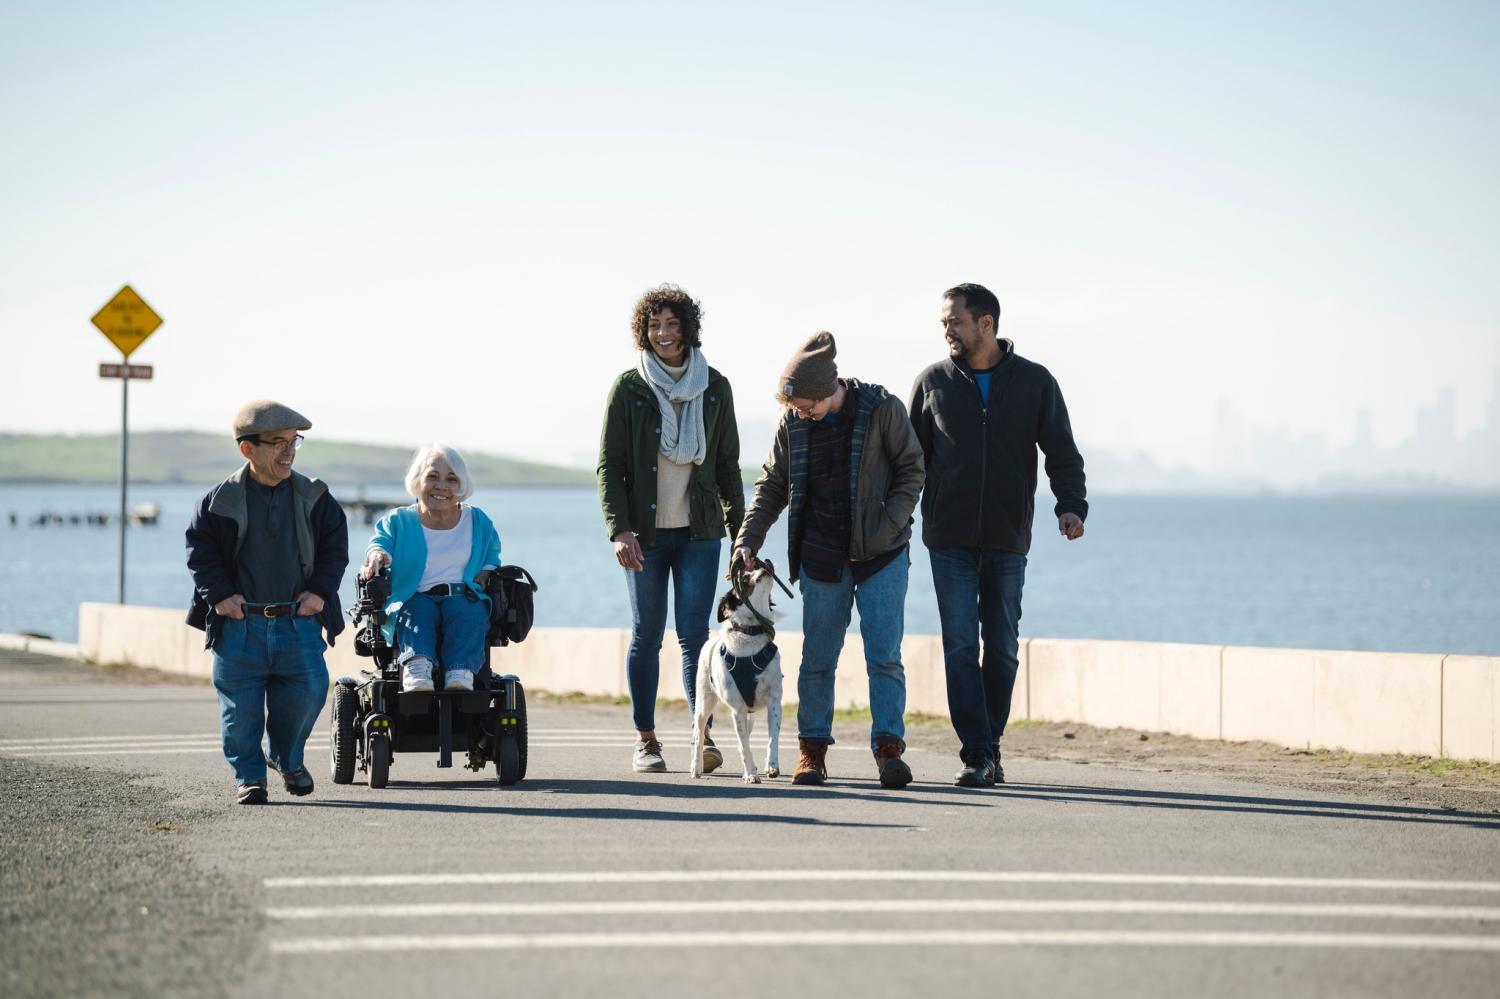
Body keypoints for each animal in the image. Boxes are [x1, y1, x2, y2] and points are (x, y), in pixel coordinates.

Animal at [690, 564, 786, 780]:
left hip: (749, 715)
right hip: (704, 702)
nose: (765, 563)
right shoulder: (738, 708)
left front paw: (771, 766)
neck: (750, 632)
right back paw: (696, 767)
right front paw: (750, 775)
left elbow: (772, 738)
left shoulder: (774, 701)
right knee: (699, 734)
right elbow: (745, 747)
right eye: (744, 576)